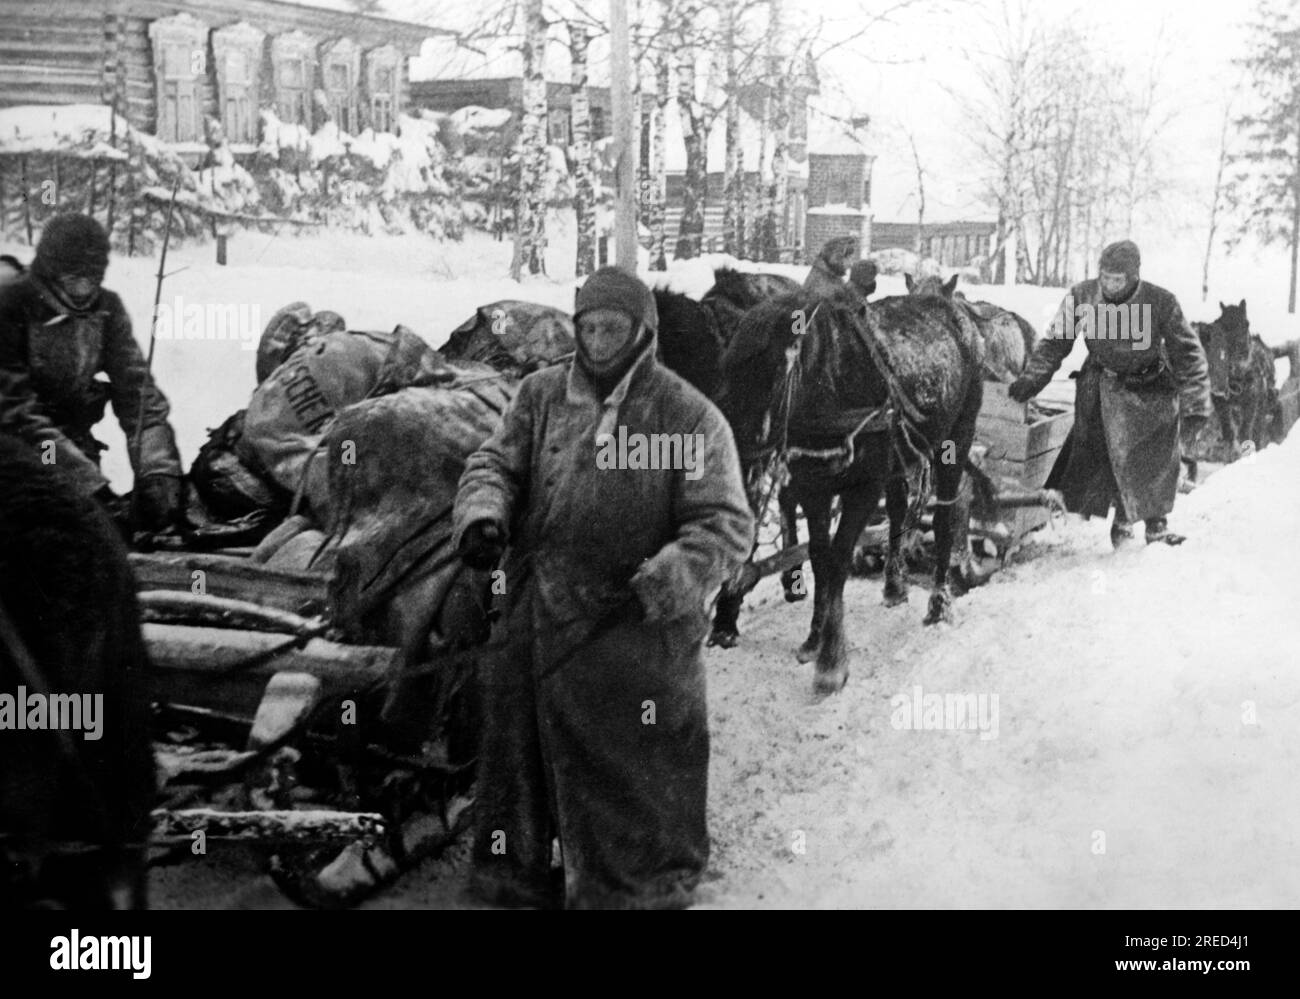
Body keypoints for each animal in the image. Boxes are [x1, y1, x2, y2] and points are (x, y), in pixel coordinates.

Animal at [712, 292, 982, 692]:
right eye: (725, 371)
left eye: (770, 376)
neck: (827, 389)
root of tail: (956, 308)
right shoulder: (813, 487)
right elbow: (820, 558)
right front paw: (814, 638)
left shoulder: (862, 489)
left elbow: (839, 559)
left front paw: (832, 661)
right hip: (898, 458)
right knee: (898, 509)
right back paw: (894, 585)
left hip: (957, 440)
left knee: (947, 517)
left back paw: (939, 603)